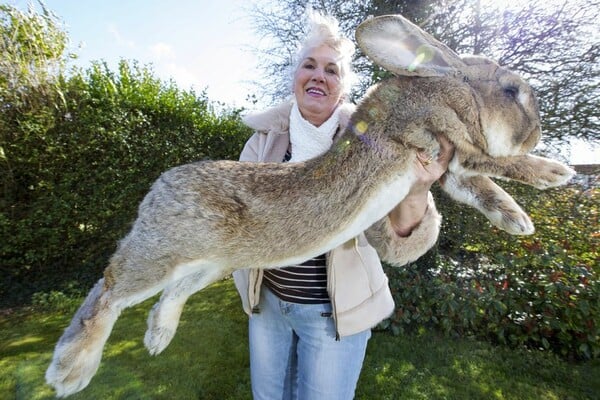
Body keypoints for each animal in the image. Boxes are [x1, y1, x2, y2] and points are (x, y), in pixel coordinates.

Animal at [45, 13, 572, 396]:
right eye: (511, 91)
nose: (537, 133)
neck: (450, 88)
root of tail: (159, 188)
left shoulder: (450, 166)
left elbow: (481, 186)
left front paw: (518, 220)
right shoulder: (446, 138)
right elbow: (498, 162)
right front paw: (555, 172)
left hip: (212, 263)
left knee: (170, 293)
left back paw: (157, 337)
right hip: (166, 252)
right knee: (107, 291)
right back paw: (70, 371)